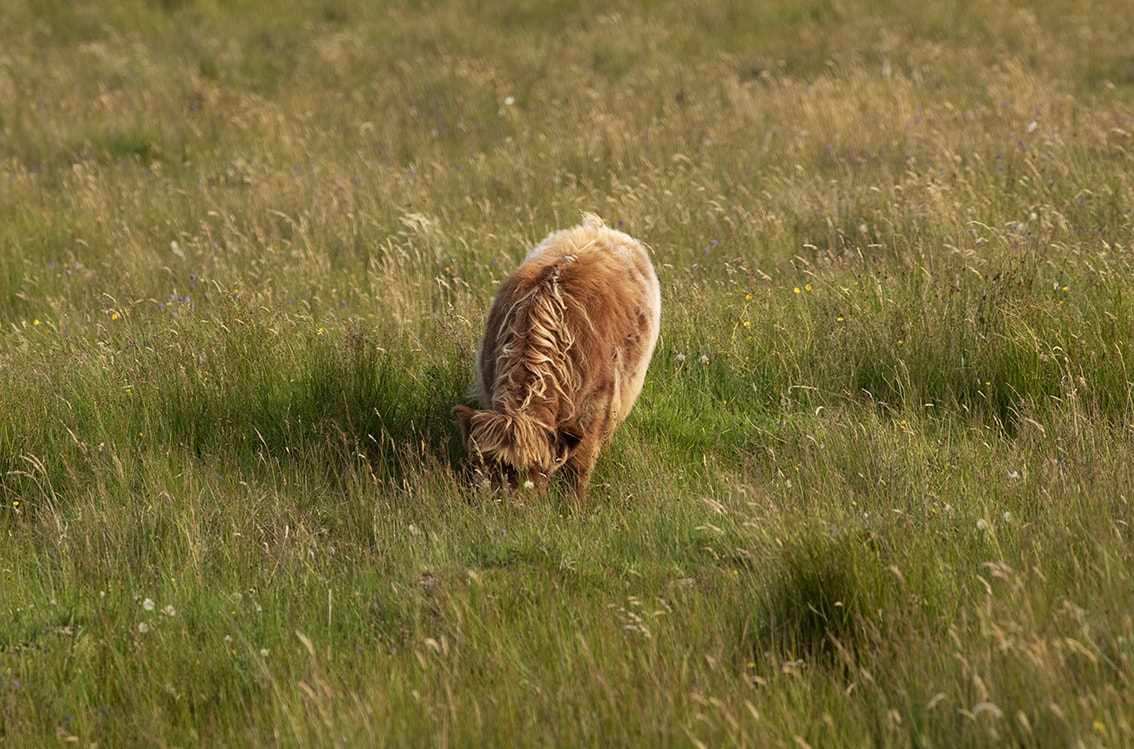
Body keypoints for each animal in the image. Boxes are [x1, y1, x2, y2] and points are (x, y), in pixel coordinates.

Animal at [453, 213, 662, 499]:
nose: (510, 505)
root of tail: (599, 229)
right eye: (485, 466)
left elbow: (579, 468)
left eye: (539, 470)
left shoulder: (594, 411)